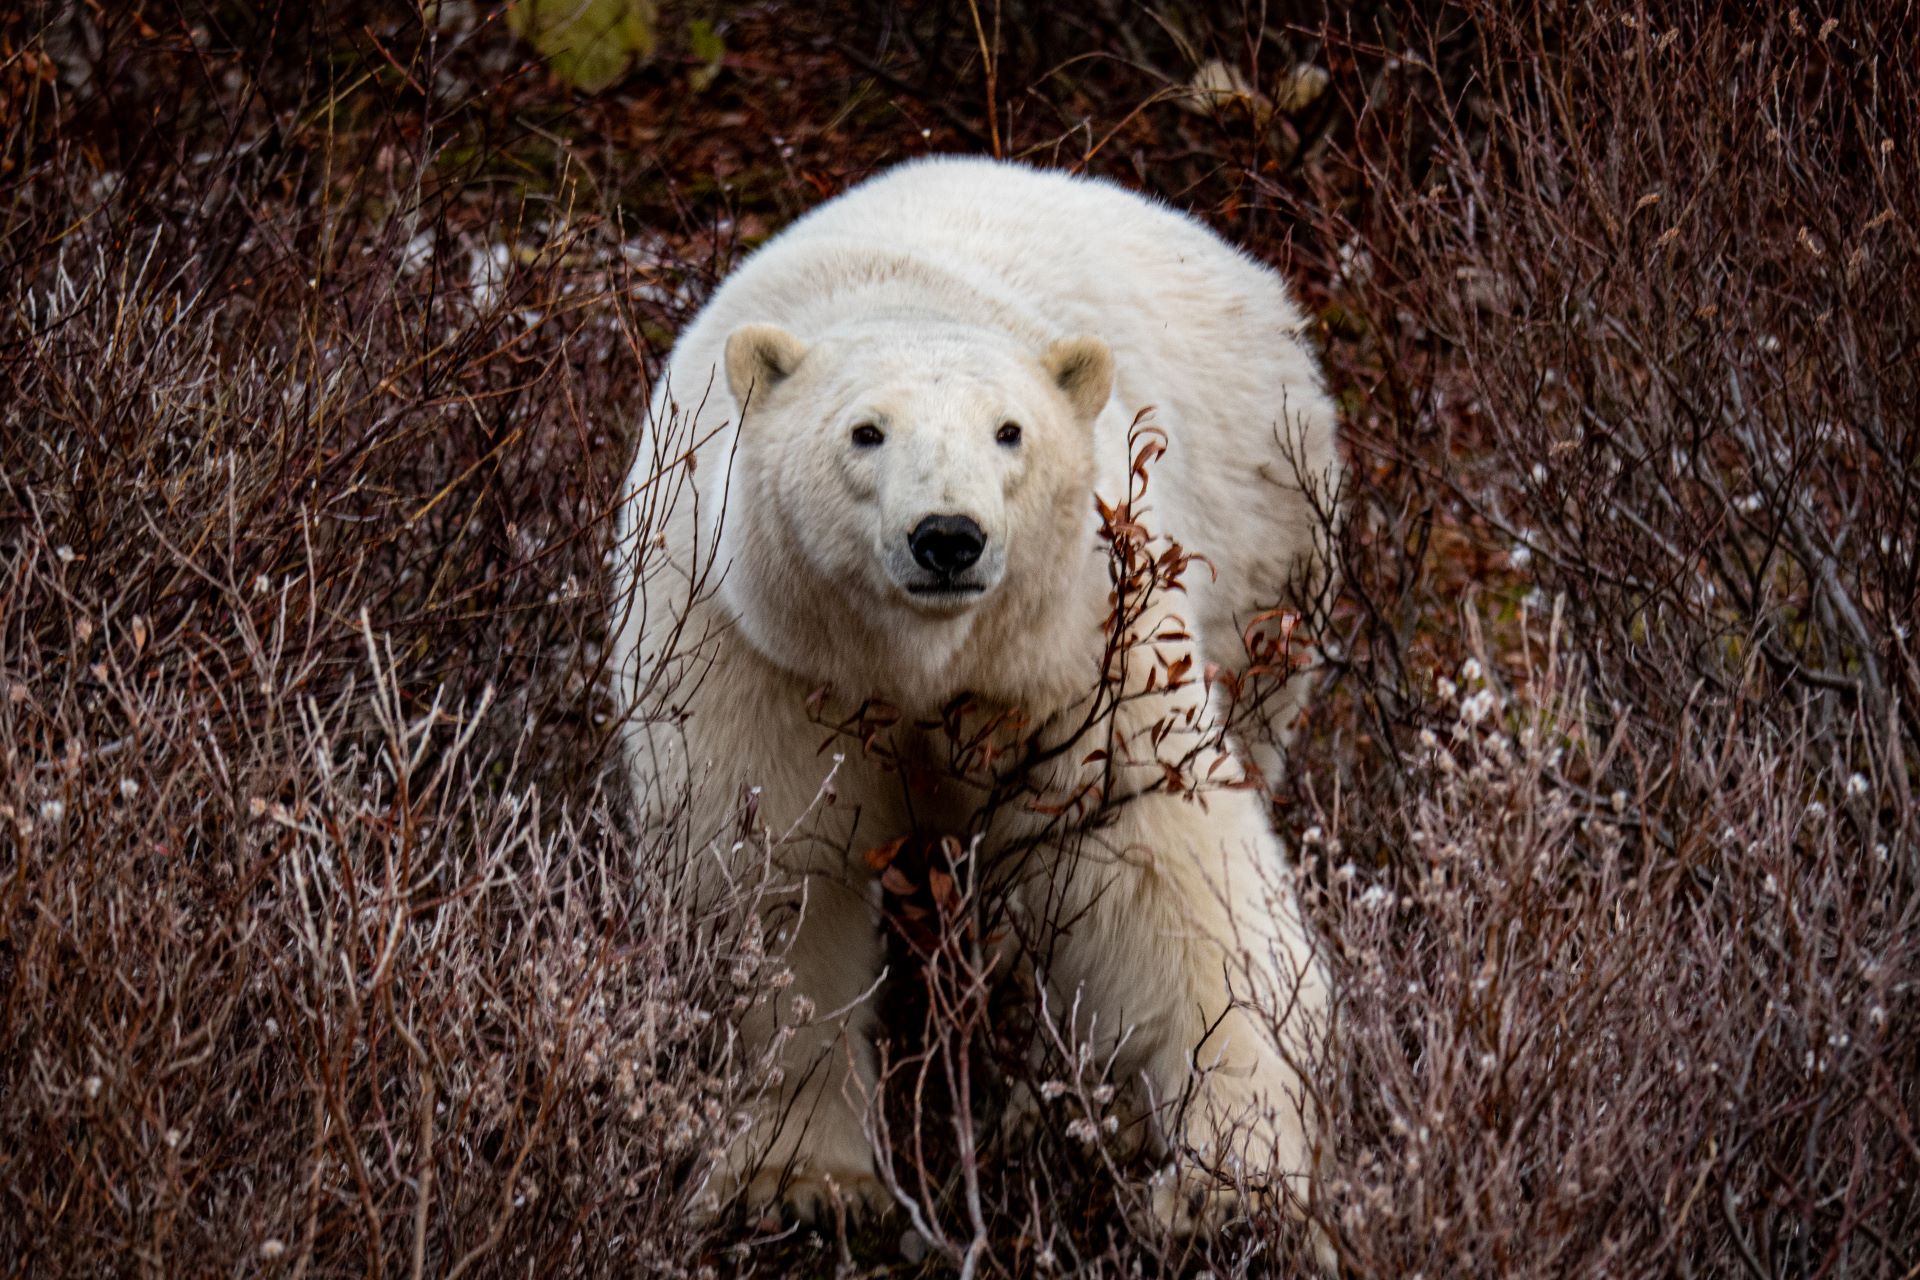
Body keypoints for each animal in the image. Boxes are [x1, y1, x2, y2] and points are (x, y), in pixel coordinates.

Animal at [611, 156, 1342, 1258]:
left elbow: (1157, 859)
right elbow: (775, 876)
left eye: (1011, 431)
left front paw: (1229, 1187)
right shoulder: (747, 643)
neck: (913, 663)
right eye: (865, 432)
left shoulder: (1077, 647)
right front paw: (799, 1180)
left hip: (1269, 551)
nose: (947, 536)